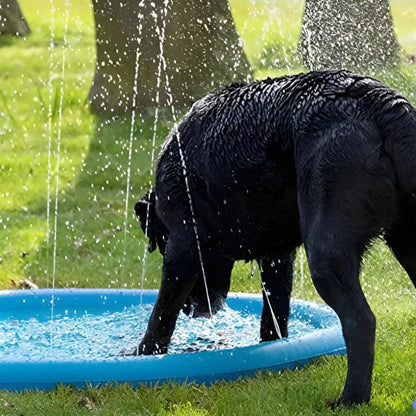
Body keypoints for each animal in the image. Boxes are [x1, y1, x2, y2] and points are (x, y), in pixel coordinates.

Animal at [135, 70, 414, 404]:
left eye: (161, 243)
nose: (193, 309)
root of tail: (379, 101)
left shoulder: (183, 246)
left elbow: (161, 314)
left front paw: (139, 354)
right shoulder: (277, 255)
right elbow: (274, 315)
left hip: (326, 255)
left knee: (360, 321)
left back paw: (350, 399)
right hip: (408, 240)